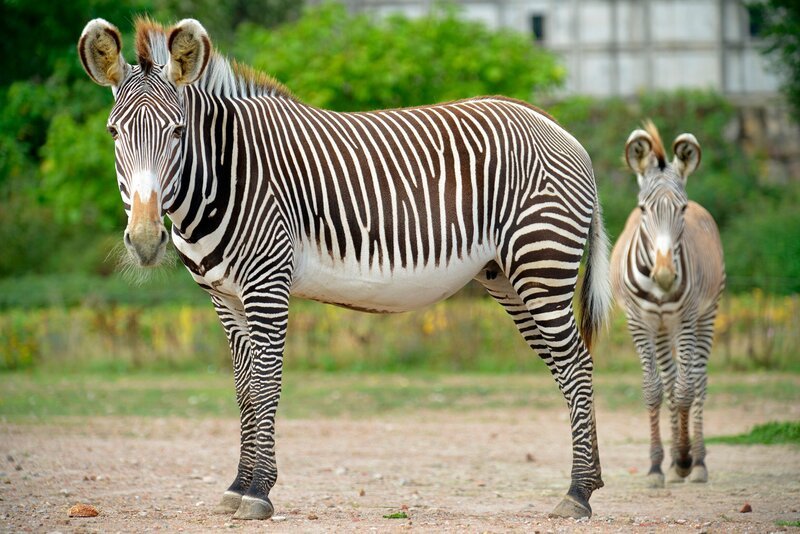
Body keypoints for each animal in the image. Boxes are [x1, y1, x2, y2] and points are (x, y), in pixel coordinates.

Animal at [78, 17, 612, 520]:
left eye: (178, 132)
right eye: (113, 132)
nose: (146, 240)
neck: (224, 176)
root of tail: (554, 124)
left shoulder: (267, 282)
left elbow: (267, 383)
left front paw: (259, 492)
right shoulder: (223, 296)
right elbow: (245, 389)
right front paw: (237, 486)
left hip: (542, 263)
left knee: (578, 364)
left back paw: (578, 494)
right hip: (508, 277)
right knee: (565, 367)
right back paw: (588, 483)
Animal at [610, 121, 725, 488]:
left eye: (682, 209)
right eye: (643, 209)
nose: (663, 276)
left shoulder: (687, 320)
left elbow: (687, 389)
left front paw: (686, 459)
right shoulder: (639, 322)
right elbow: (654, 389)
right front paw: (657, 466)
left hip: (707, 314)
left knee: (697, 380)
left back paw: (696, 462)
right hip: (662, 328)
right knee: (672, 380)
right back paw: (674, 461)